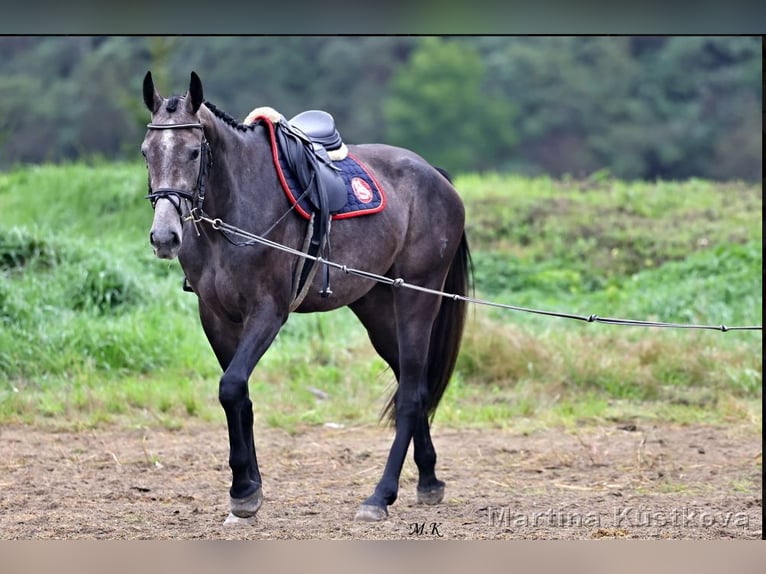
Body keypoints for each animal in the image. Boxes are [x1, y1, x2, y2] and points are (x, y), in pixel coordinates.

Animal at [140, 71, 471, 524]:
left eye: (193, 152)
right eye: (146, 153)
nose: (164, 236)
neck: (236, 210)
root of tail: (435, 177)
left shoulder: (268, 312)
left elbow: (231, 387)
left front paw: (242, 489)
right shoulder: (216, 316)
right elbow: (240, 397)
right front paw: (250, 490)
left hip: (416, 300)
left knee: (408, 395)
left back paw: (380, 496)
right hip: (376, 307)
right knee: (414, 384)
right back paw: (429, 480)